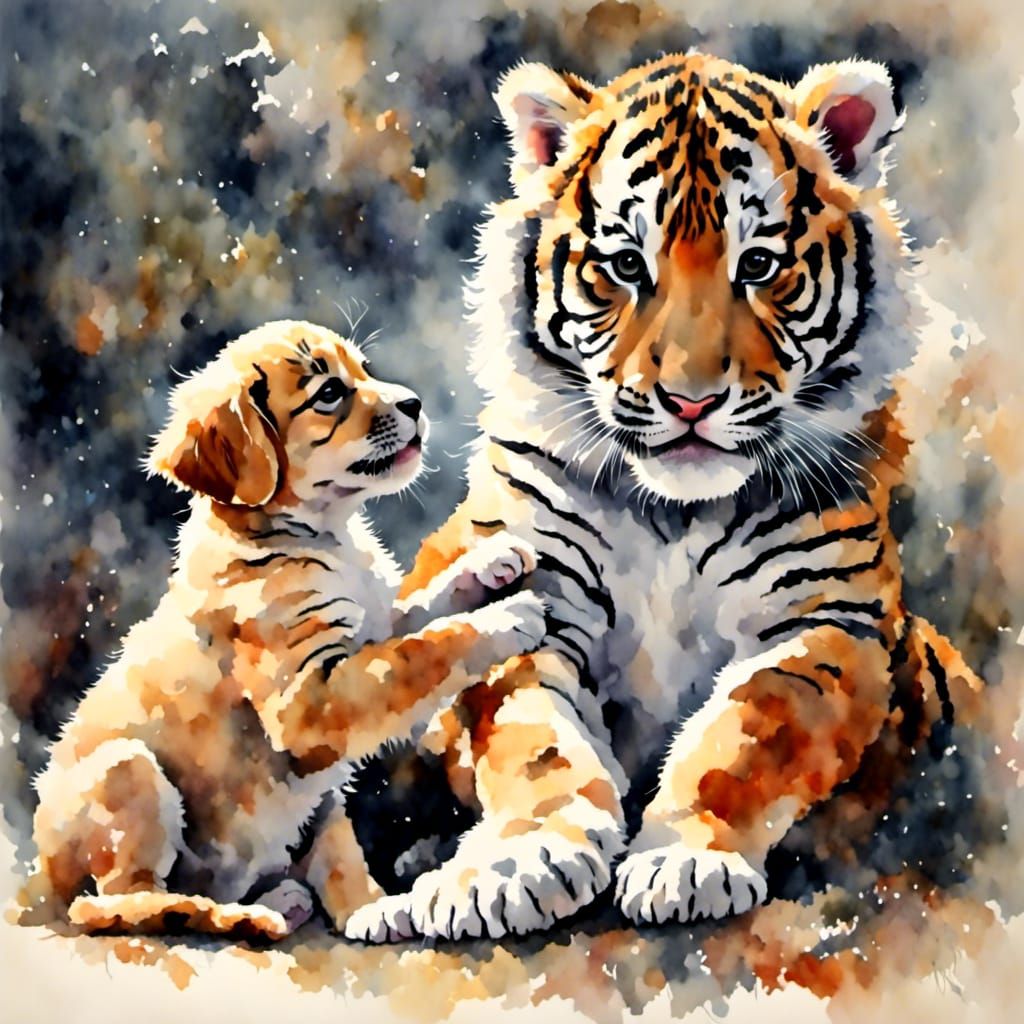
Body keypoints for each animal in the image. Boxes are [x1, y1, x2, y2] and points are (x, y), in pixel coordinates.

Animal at [24, 320, 546, 939]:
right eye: (329, 393)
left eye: (364, 370)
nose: (414, 404)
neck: (323, 536)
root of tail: (40, 877)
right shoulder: (310, 696)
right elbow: (422, 652)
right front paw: (506, 618)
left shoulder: (371, 625)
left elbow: (420, 611)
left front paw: (494, 562)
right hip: (128, 773)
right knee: (116, 902)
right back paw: (245, 916)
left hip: (305, 805)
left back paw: (334, 905)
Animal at [343, 53, 985, 943]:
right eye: (623, 267)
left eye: (758, 266)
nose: (690, 401)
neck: (673, 511)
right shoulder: (540, 593)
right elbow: (534, 738)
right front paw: (514, 866)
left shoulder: (824, 621)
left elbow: (744, 736)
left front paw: (685, 862)